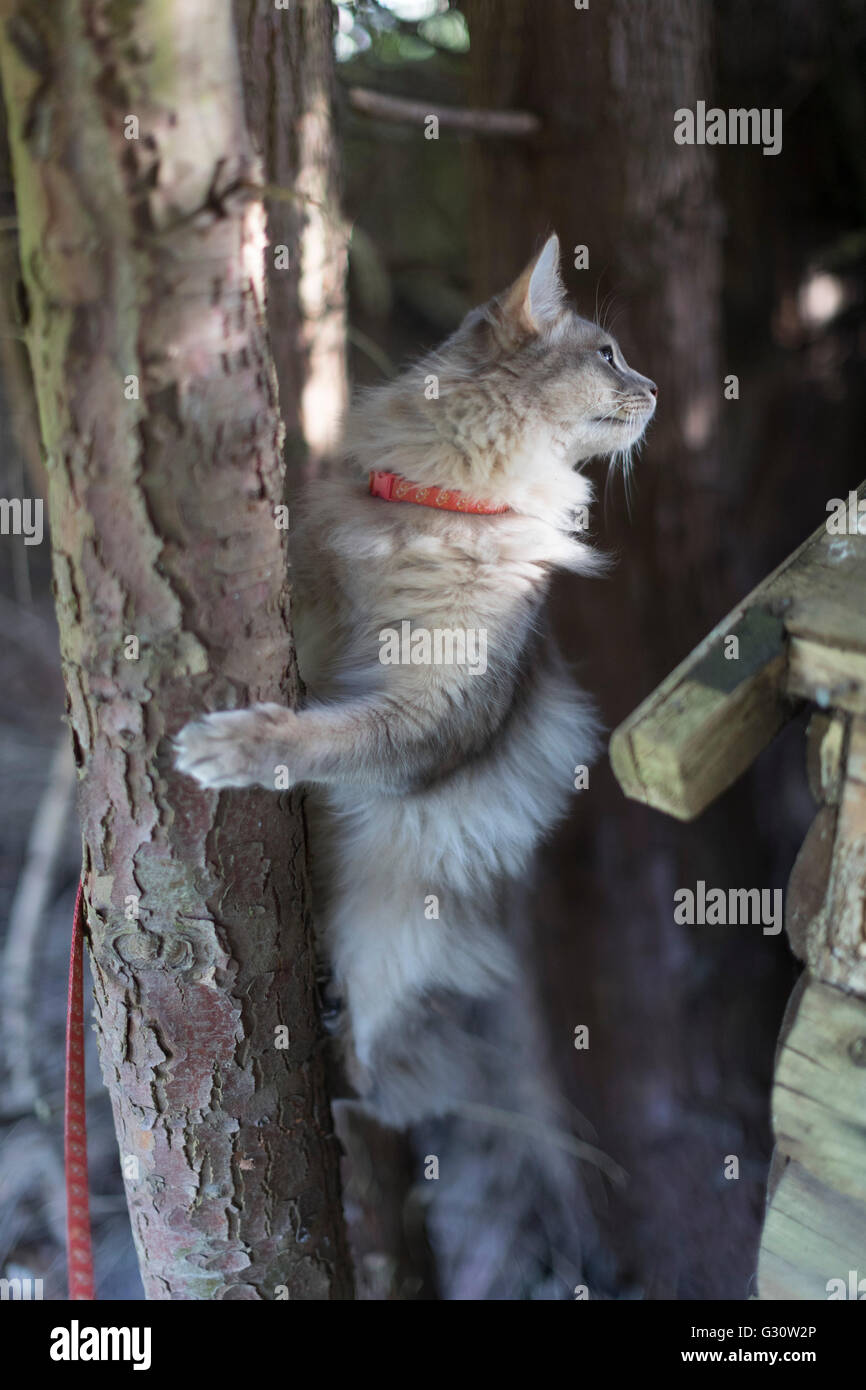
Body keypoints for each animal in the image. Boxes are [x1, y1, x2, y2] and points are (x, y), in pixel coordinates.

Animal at [173, 236, 653, 1128]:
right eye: (607, 354)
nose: (656, 390)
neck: (438, 511)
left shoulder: (433, 718)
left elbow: (324, 734)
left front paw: (237, 745)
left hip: (390, 921)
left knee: (369, 1065)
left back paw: (335, 1033)